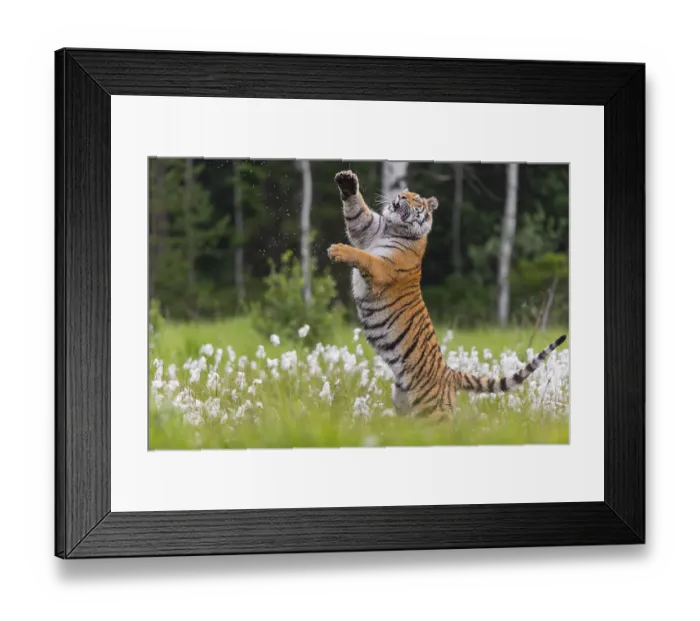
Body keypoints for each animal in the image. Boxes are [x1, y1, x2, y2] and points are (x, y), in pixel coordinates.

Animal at [327, 169, 567, 422]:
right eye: (405, 193)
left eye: (416, 199)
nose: (400, 196)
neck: (393, 228)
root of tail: (449, 374)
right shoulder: (367, 228)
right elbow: (357, 213)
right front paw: (347, 181)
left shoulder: (383, 267)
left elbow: (363, 255)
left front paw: (338, 250)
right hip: (404, 404)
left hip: (433, 413)